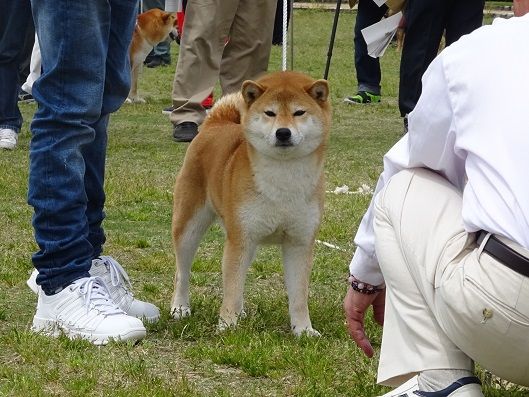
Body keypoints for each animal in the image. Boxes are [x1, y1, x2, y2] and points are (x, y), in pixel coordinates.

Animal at [171, 70, 332, 334]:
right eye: (270, 113)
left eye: (299, 112)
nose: (283, 132)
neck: (283, 177)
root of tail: (217, 123)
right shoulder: (240, 240)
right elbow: (232, 290)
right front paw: (227, 326)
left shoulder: (299, 242)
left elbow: (299, 296)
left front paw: (303, 331)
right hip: (189, 226)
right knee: (182, 272)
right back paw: (180, 308)